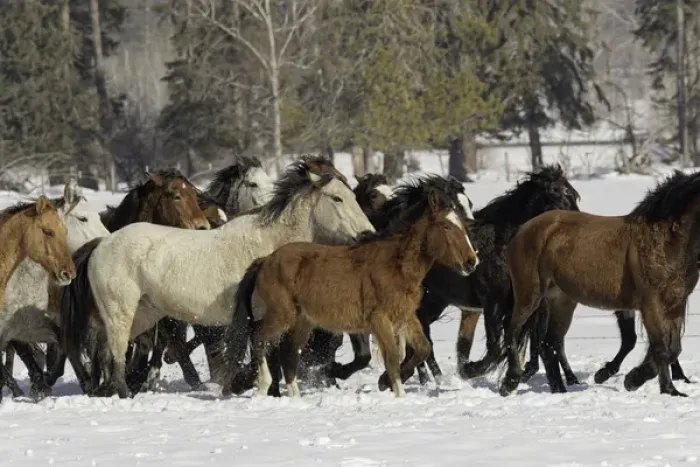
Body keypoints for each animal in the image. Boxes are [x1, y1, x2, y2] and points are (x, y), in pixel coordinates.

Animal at [60, 156, 375, 398]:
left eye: (353, 194)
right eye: (337, 198)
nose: (368, 234)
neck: (271, 243)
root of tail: (101, 243)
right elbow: (263, 356)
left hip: (142, 316)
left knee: (107, 351)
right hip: (120, 313)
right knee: (115, 354)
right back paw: (123, 393)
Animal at [224, 187, 479, 398]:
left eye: (464, 226)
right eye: (446, 226)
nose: (472, 262)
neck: (395, 265)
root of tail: (264, 261)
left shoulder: (406, 317)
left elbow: (422, 349)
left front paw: (385, 382)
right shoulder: (380, 320)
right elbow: (392, 358)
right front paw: (396, 392)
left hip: (302, 322)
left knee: (289, 354)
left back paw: (294, 397)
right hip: (282, 316)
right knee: (258, 337)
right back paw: (264, 385)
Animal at [499, 170, 700, 398]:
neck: (666, 240)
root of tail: (522, 229)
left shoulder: (676, 304)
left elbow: (673, 348)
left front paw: (638, 380)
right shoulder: (652, 305)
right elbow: (660, 348)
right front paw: (662, 388)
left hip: (561, 301)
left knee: (549, 344)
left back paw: (560, 389)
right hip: (529, 294)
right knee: (513, 331)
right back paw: (510, 382)